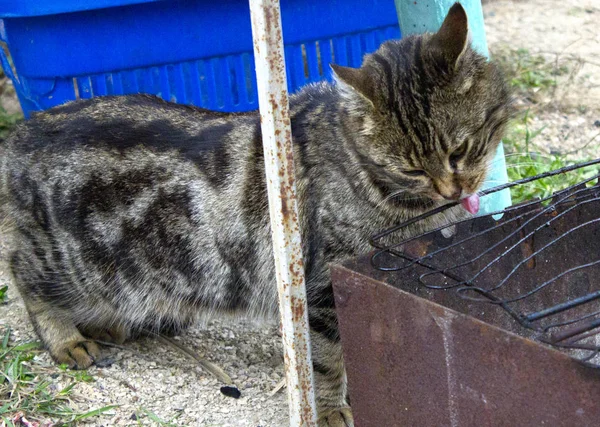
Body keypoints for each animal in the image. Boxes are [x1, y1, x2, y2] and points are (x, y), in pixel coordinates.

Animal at [0, 2, 510, 424]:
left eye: (460, 149)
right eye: (412, 168)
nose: (454, 188)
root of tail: (19, 135)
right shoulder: (319, 285)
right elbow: (327, 358)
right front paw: (330, 408)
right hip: (67, 263)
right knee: (24, 276)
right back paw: (67, 338)